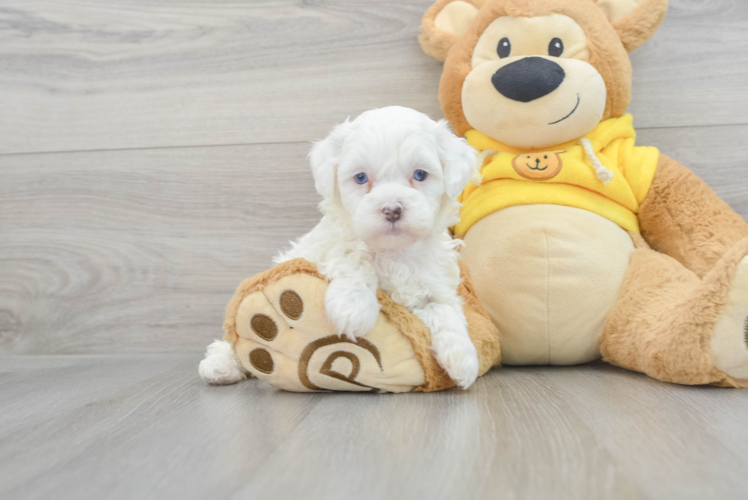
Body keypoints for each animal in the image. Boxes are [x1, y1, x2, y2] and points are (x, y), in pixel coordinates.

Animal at [199, 107, 480, 390]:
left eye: (420, 174)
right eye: (361, 178)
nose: (391, 209)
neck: (394, 251)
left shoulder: (436, 283)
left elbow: (446, 309)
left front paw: (463, 358)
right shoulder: (325, 246)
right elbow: (351, 254)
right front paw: (354, 307)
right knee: (232, 343)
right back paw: (222, 364)